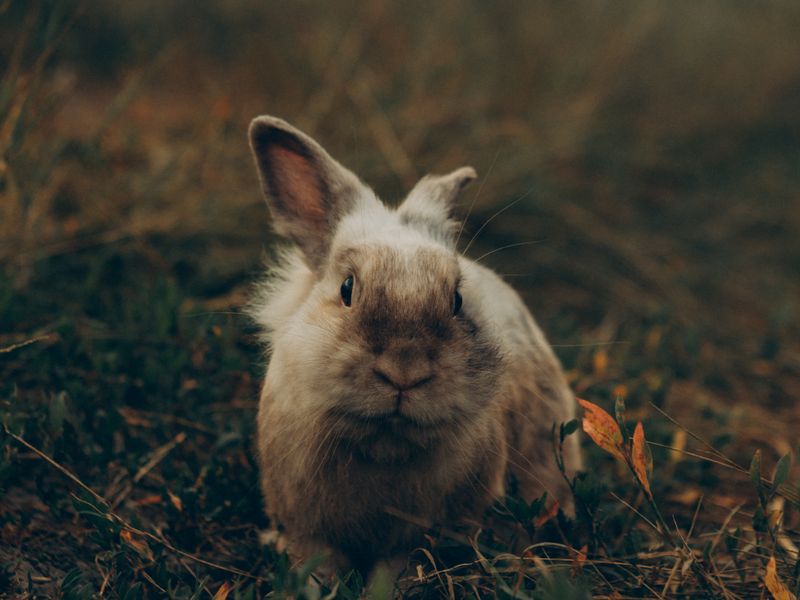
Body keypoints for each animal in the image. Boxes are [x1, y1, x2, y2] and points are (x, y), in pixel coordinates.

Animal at [247, 115, 582, 576]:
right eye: (347, 289)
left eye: (457, 299)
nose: (404, 373)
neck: (384, 444)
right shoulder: (307, 532)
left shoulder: (415, 540)